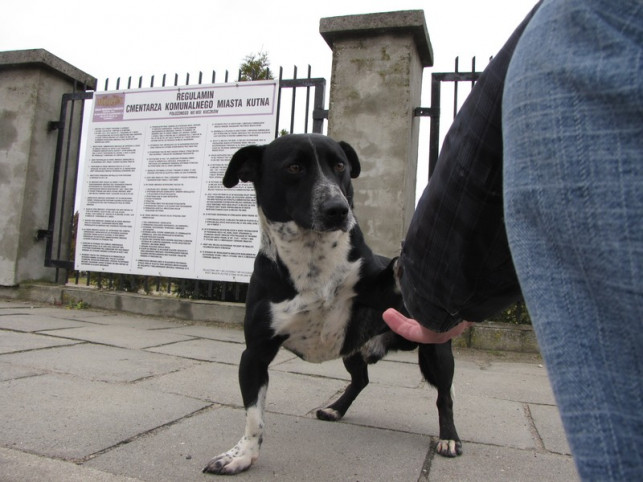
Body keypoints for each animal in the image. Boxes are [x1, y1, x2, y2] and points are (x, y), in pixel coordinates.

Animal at [204, 135, 460, 474]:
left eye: (340, 165)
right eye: (294, 167)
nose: (338, 208)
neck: (313, 258)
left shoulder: (378, 286)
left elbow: (393, 272)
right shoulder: (255, 354)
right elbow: (254, 415)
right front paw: (242, 455)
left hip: (435, 352)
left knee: (444, 395)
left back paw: (449, 437)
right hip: (353, 349)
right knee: (361, 379)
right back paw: (337, 409)